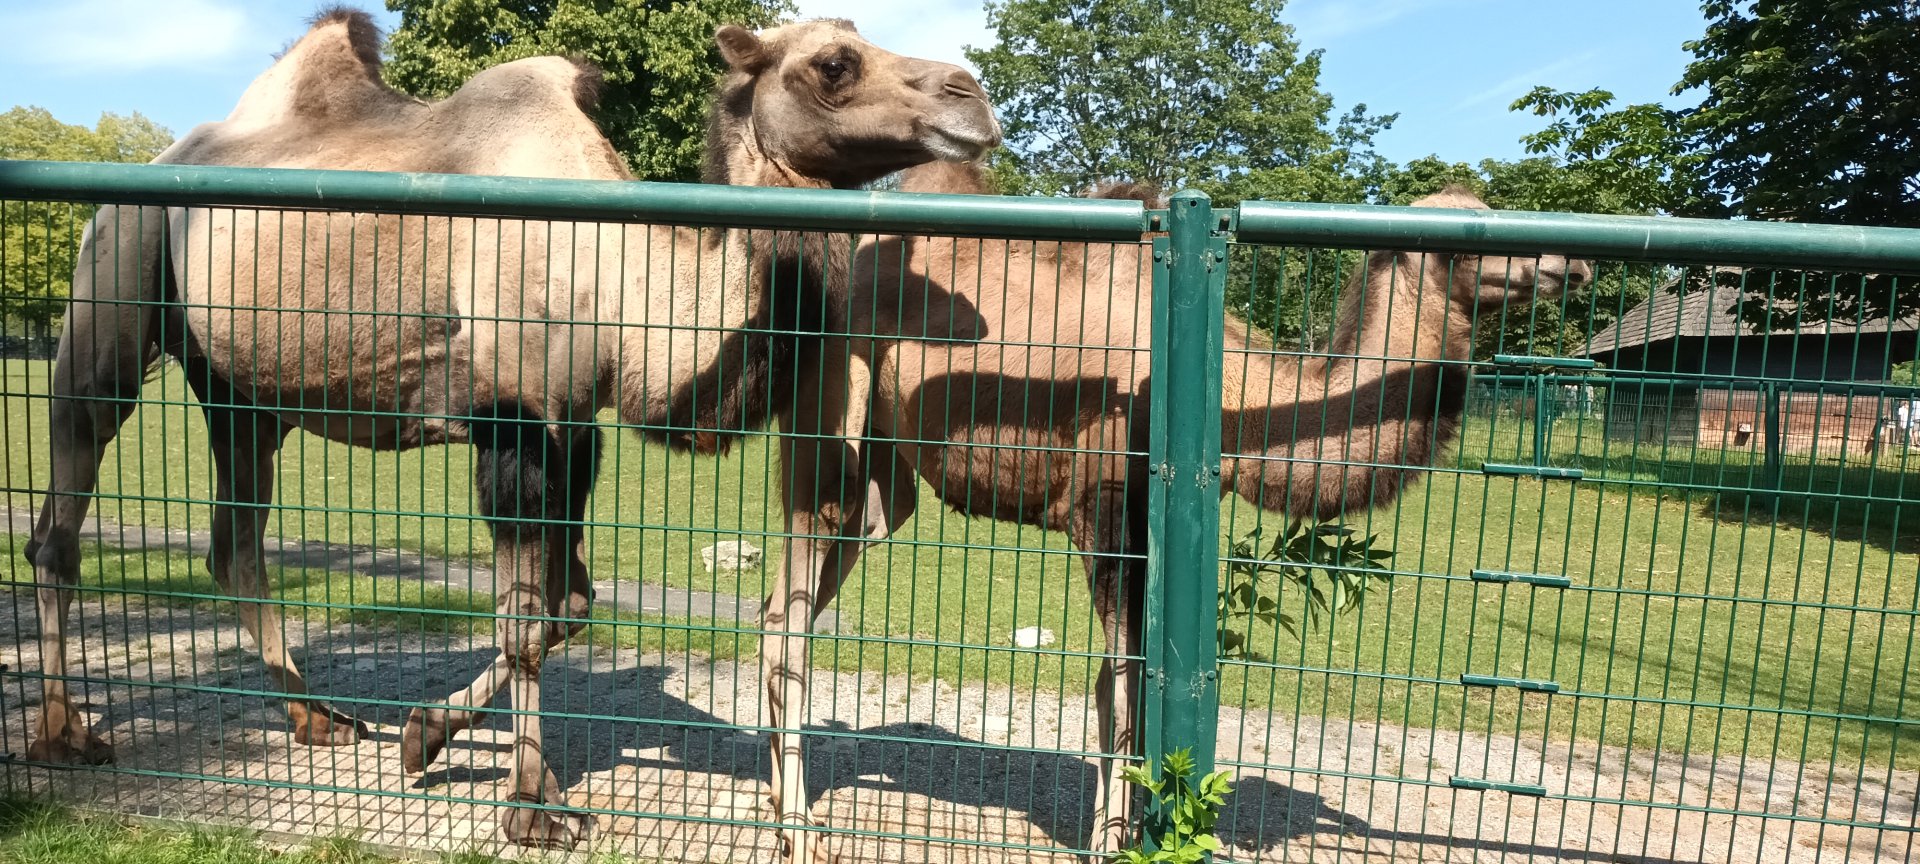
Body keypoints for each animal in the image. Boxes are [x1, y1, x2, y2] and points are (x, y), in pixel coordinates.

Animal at [23, 9, 997, 850]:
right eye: (833, 64)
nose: (973, 100)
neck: (620, 271)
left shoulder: (577, 425)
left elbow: (569, 608)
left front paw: (425, 735)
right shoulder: (516, 417)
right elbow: (528, 620)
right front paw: (533, 808)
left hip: (240, 388)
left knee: (236, 541)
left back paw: (315, 715)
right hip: (117, 263)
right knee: (66, 501)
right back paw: (64, 733)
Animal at [758, 160, 1592, 858]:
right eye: (1468, 229)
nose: (1571, 260)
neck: (1236, 398)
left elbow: (1124, 680)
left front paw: (1124, 830)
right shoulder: (1102, 503)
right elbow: (1123, 682)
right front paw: (1111, 840)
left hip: (885, 477)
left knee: (803, 588)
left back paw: (777, 801)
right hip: (830, 413)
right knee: (786, 613)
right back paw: (799, 826)